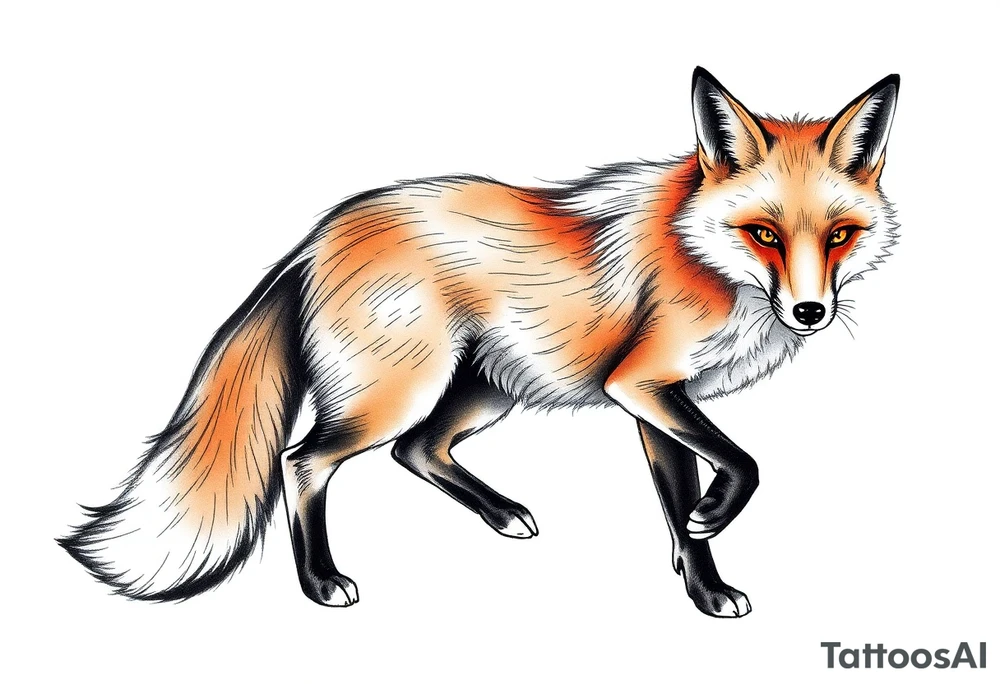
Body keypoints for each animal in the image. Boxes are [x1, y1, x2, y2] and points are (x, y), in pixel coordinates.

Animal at [60, 67, 899, 617]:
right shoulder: (644, 383)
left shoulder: (656, 398)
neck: (703, 257)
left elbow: (680, 493)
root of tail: (320, 233)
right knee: (303, 461)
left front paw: (696, 568)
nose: (810, 311)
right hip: (397, 394)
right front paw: (710, 537)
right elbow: (744, 464)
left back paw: (500, 513)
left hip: (483, 393)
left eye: (839, 236)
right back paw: (321, 583)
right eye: (763, 233)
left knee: (418, 451)